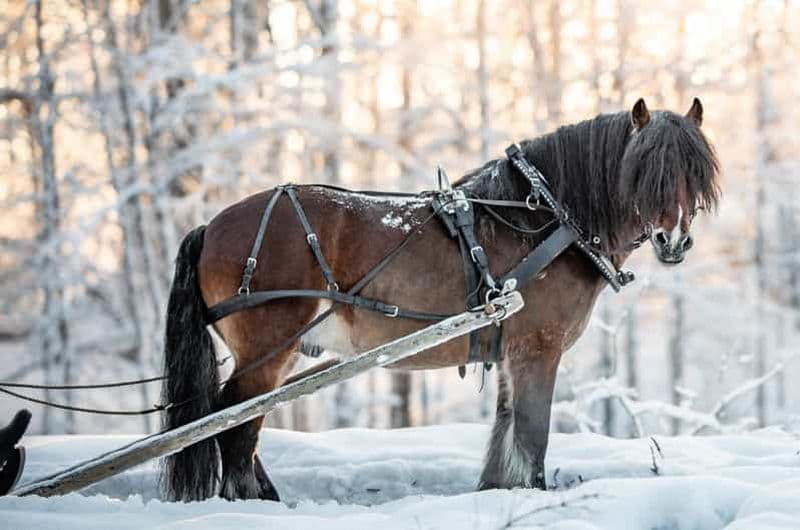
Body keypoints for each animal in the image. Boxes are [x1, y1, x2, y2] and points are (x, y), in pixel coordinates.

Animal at [159, 97, 720, 502]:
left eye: (695, 171)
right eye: (644, 170)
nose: (674, 242)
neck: (542, 218)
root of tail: (211, 227)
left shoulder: (510, 350)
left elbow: (505, 434)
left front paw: (497, 492)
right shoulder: (538, 348)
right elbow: (531, 434)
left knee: (236, 419)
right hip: (269, 349)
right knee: (233, 425)